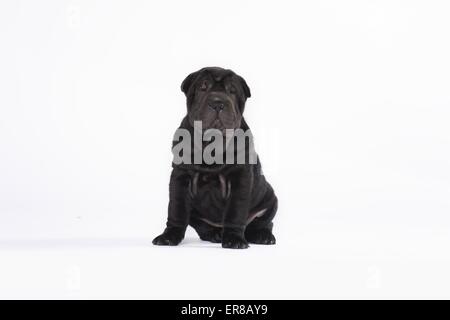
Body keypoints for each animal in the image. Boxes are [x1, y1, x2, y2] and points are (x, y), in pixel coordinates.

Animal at [153, 66, 276, 249]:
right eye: (203, 87)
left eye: (232, 91)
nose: (218, 102)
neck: (212, 143)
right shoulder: (180, 177)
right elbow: (177, 209)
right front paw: (169, 236)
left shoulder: (241, 177)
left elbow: (235, 211)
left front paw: (234, 239)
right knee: (202, 226)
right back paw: (215, 234)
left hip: (270, 198)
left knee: (264, 223)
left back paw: (262, 236)